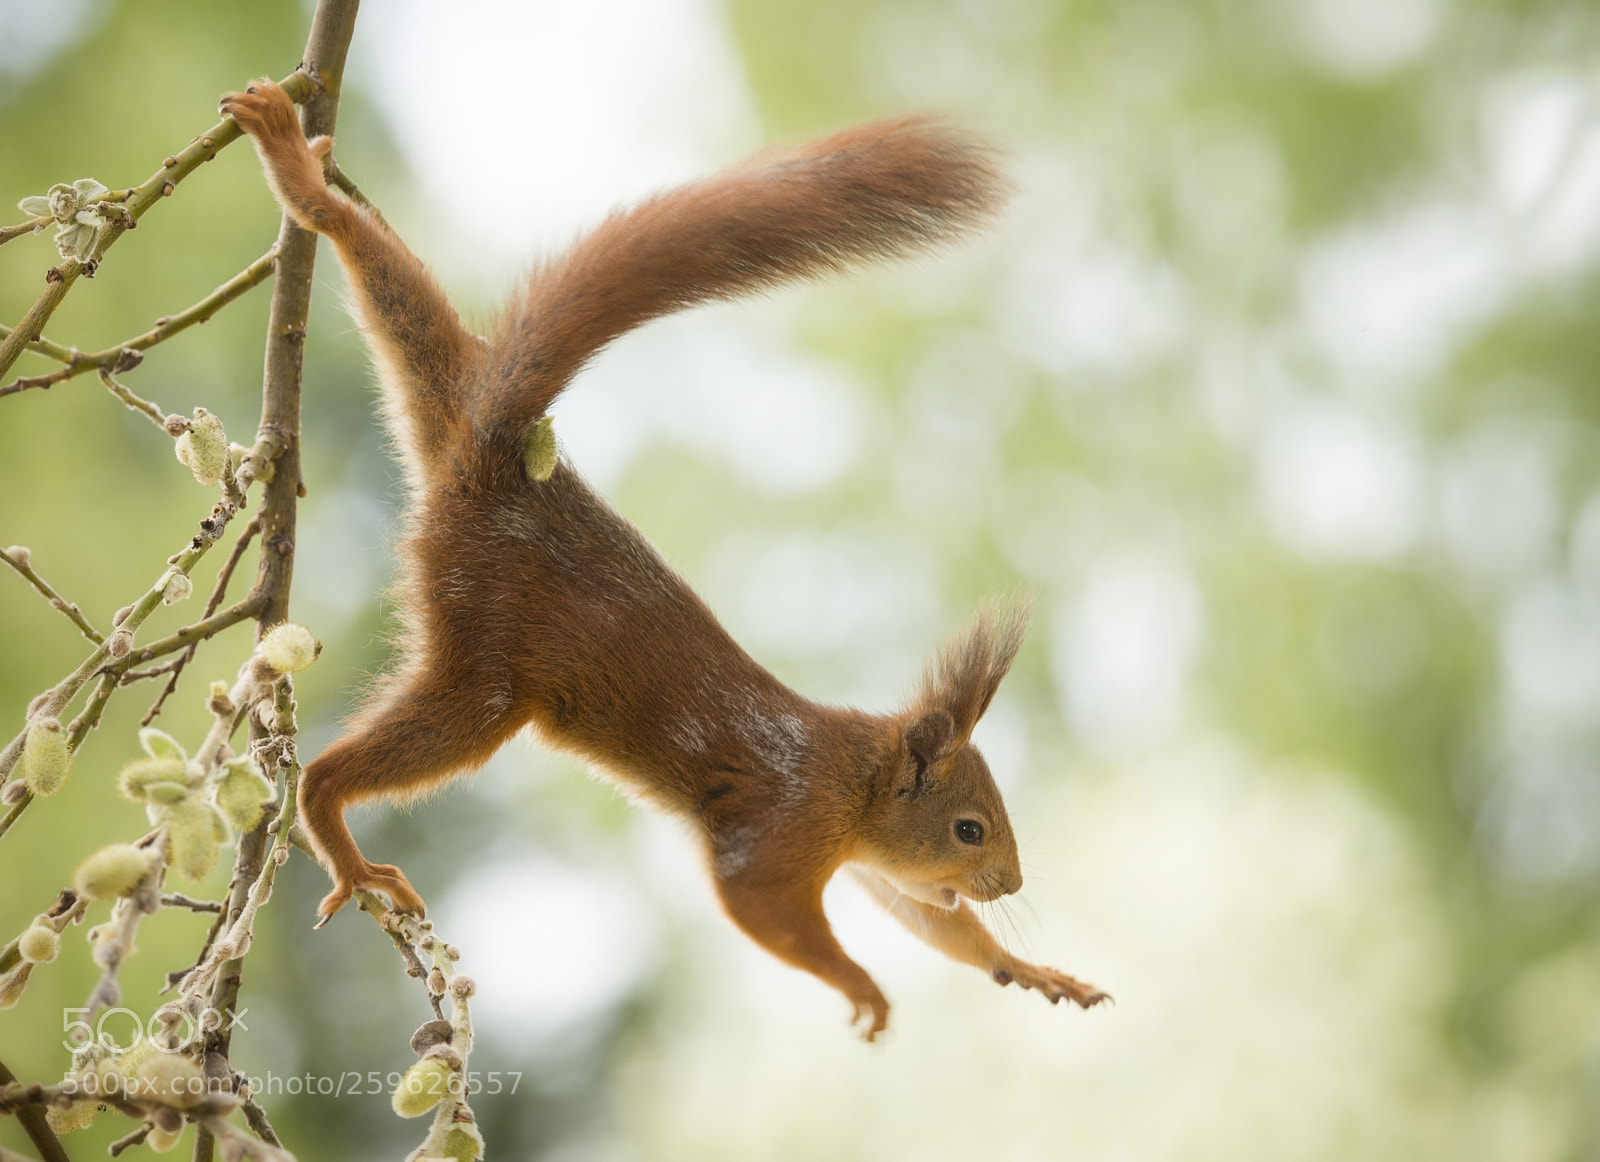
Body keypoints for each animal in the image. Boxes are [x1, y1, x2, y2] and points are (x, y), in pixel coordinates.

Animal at [219, 78, 1108, 1039]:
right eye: (969, 829)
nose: (1011, 884)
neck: (858, 777)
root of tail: (488, 457)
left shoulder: (870, 862)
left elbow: (919, 911)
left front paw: (1027, 966)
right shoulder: (784, 821)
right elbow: (761, 904)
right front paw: (860, 984)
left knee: (369, 252)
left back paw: (308, 187)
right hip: (485, 672)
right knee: (346, 766)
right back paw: (339, 834)